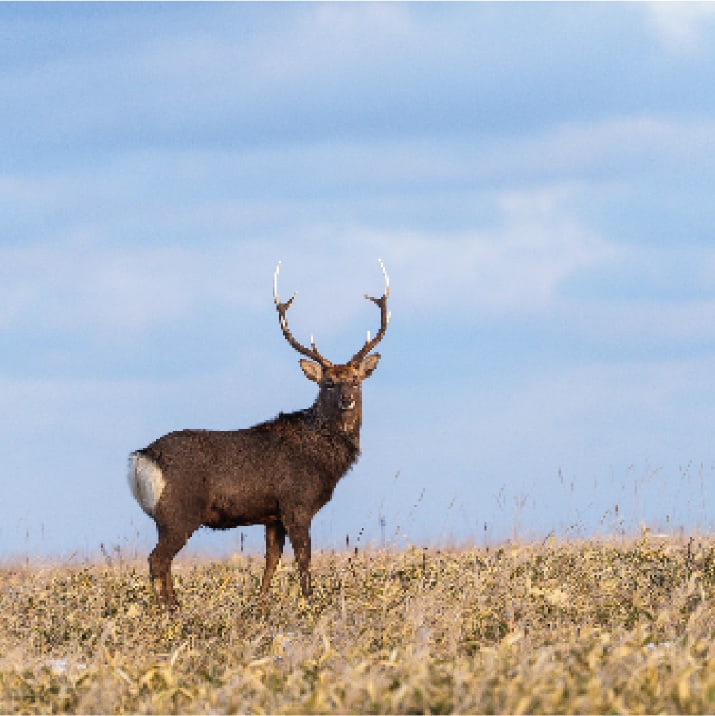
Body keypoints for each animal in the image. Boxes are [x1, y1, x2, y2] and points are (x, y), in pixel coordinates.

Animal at [126, 260, 388, 608]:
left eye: (356, 380)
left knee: (163, 562)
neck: (322, 458)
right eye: (328, 383)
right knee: (157, 560)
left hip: (163, 520)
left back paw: (175, 607)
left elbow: (271, 560)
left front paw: (260, 603)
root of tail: (141, 457)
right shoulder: (296, 503)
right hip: (179, 512)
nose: (347, 399)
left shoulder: (272, 515)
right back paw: (170, 611)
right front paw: (309, 603)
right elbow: (303, 558)